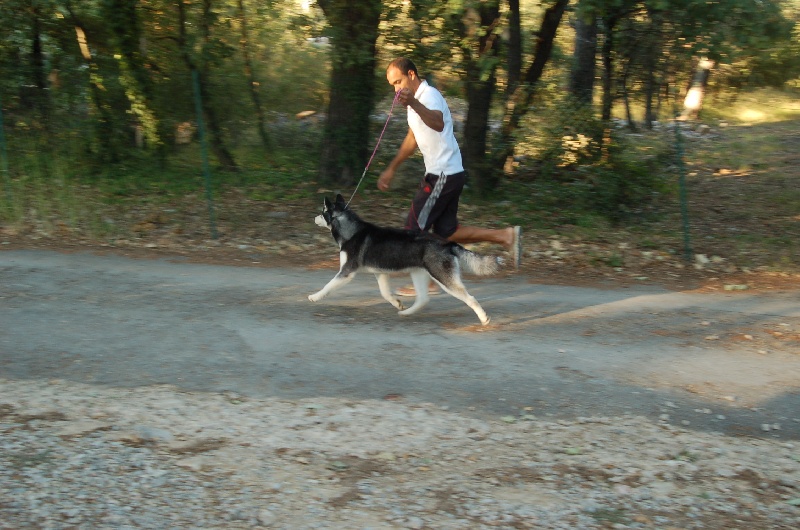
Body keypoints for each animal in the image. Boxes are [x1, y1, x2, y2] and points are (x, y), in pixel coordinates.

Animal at [308, 194, 500, 324]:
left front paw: (315, 296)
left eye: (322, 212)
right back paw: (406, 313)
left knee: (470, 298)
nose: (313, 217)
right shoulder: (380, 273)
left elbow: (328, 286)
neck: (351, 231)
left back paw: (483, 318)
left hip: (444, 278)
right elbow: (385, 293)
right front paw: (397, 303)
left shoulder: (347, 272)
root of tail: (447, 242)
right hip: (418, 274)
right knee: (423, 299)